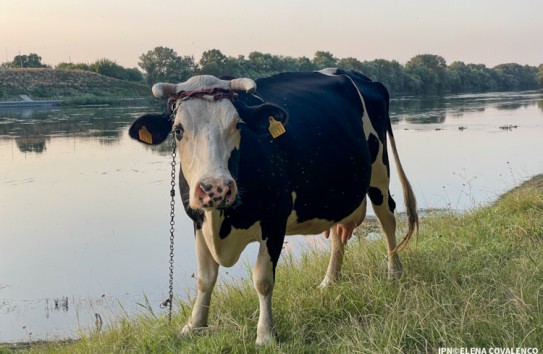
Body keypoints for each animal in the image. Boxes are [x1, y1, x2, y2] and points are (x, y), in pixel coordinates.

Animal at [130, 68, 418, 344]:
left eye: (238, 125)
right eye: (178, 130)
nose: (216, 188)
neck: (222, 221)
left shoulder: (274, 221)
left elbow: (263, 280)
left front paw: (265, 334)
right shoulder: (198, 220)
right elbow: (205, 278)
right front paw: (193, 326)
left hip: (379, 171)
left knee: (388, 218)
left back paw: (394, 272)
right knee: (339, 233)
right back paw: (329, 280)